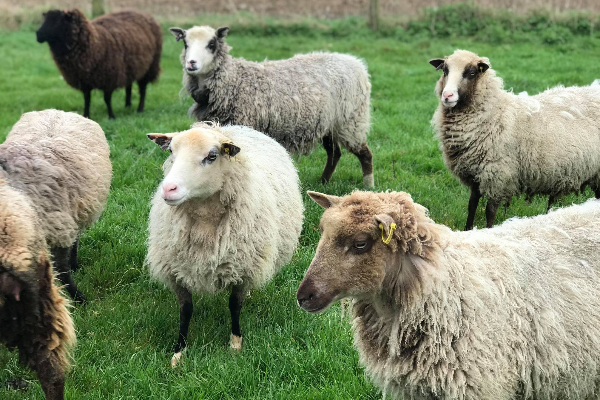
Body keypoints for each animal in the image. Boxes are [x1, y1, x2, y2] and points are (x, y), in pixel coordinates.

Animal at [1, 109, 112, 304]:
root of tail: (57, 111)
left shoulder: (58, 229)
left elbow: (61, 269)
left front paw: (78, 299)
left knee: (75, 238)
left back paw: (74, 264)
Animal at [146, 121, 304, 366]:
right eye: (171, 151)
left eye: (212, 156)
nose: (168, 189)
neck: (204, 220)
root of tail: (234, 127)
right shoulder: (176, 270)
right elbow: (185, 310)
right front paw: (179, 352)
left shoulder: (243, 267)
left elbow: (234, 304)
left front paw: (235, 343)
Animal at [170, 25, 376, 188]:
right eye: (186, 44)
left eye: (211, 44)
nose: (191, 63)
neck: (233, 80)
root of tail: (356, 63)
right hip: (328, 123)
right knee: (334, 153)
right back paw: (323, 182)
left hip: (351, 120)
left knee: (364, 153)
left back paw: (369, 185)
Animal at [428, 49, 600, 230]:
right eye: (445, 71)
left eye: (472, 73)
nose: (447, 96)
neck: (494, 113)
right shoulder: (475, 175)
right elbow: (472, 205)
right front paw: (468, 230)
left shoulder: (497, 175)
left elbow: (490, 211)